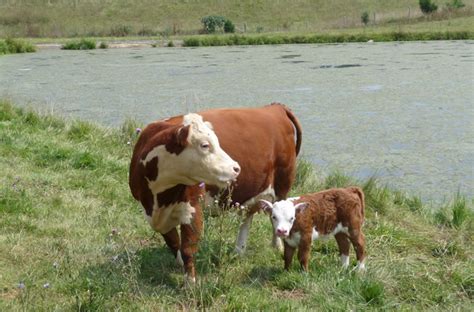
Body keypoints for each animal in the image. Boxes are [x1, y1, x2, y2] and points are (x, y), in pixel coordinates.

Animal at [128, 103, 302, 282]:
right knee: (248, 217)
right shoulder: (153, 213)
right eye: (204, 145)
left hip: (283, 184)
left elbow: (188, 248)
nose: (236, 168)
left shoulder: (192, 208)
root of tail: (274, 107)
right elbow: (173, 242)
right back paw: (239, 250)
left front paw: (190, 282)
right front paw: (180, 265)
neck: (159, 199)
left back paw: (276, 246)